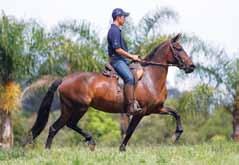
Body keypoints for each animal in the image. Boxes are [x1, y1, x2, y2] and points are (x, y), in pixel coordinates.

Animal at [24, 33, 195, 151]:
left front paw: (177, 134)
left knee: (56, 127)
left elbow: (176, 113)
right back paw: (89, 141)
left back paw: (51, 149)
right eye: (178, 48)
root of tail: (64, 79)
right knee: (68, 124)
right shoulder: (140, 112)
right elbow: (130, 131)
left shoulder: (156, 109)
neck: (150, 78)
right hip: (80, 107)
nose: (192, 66)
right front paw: (122, 149)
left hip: (68, 108)